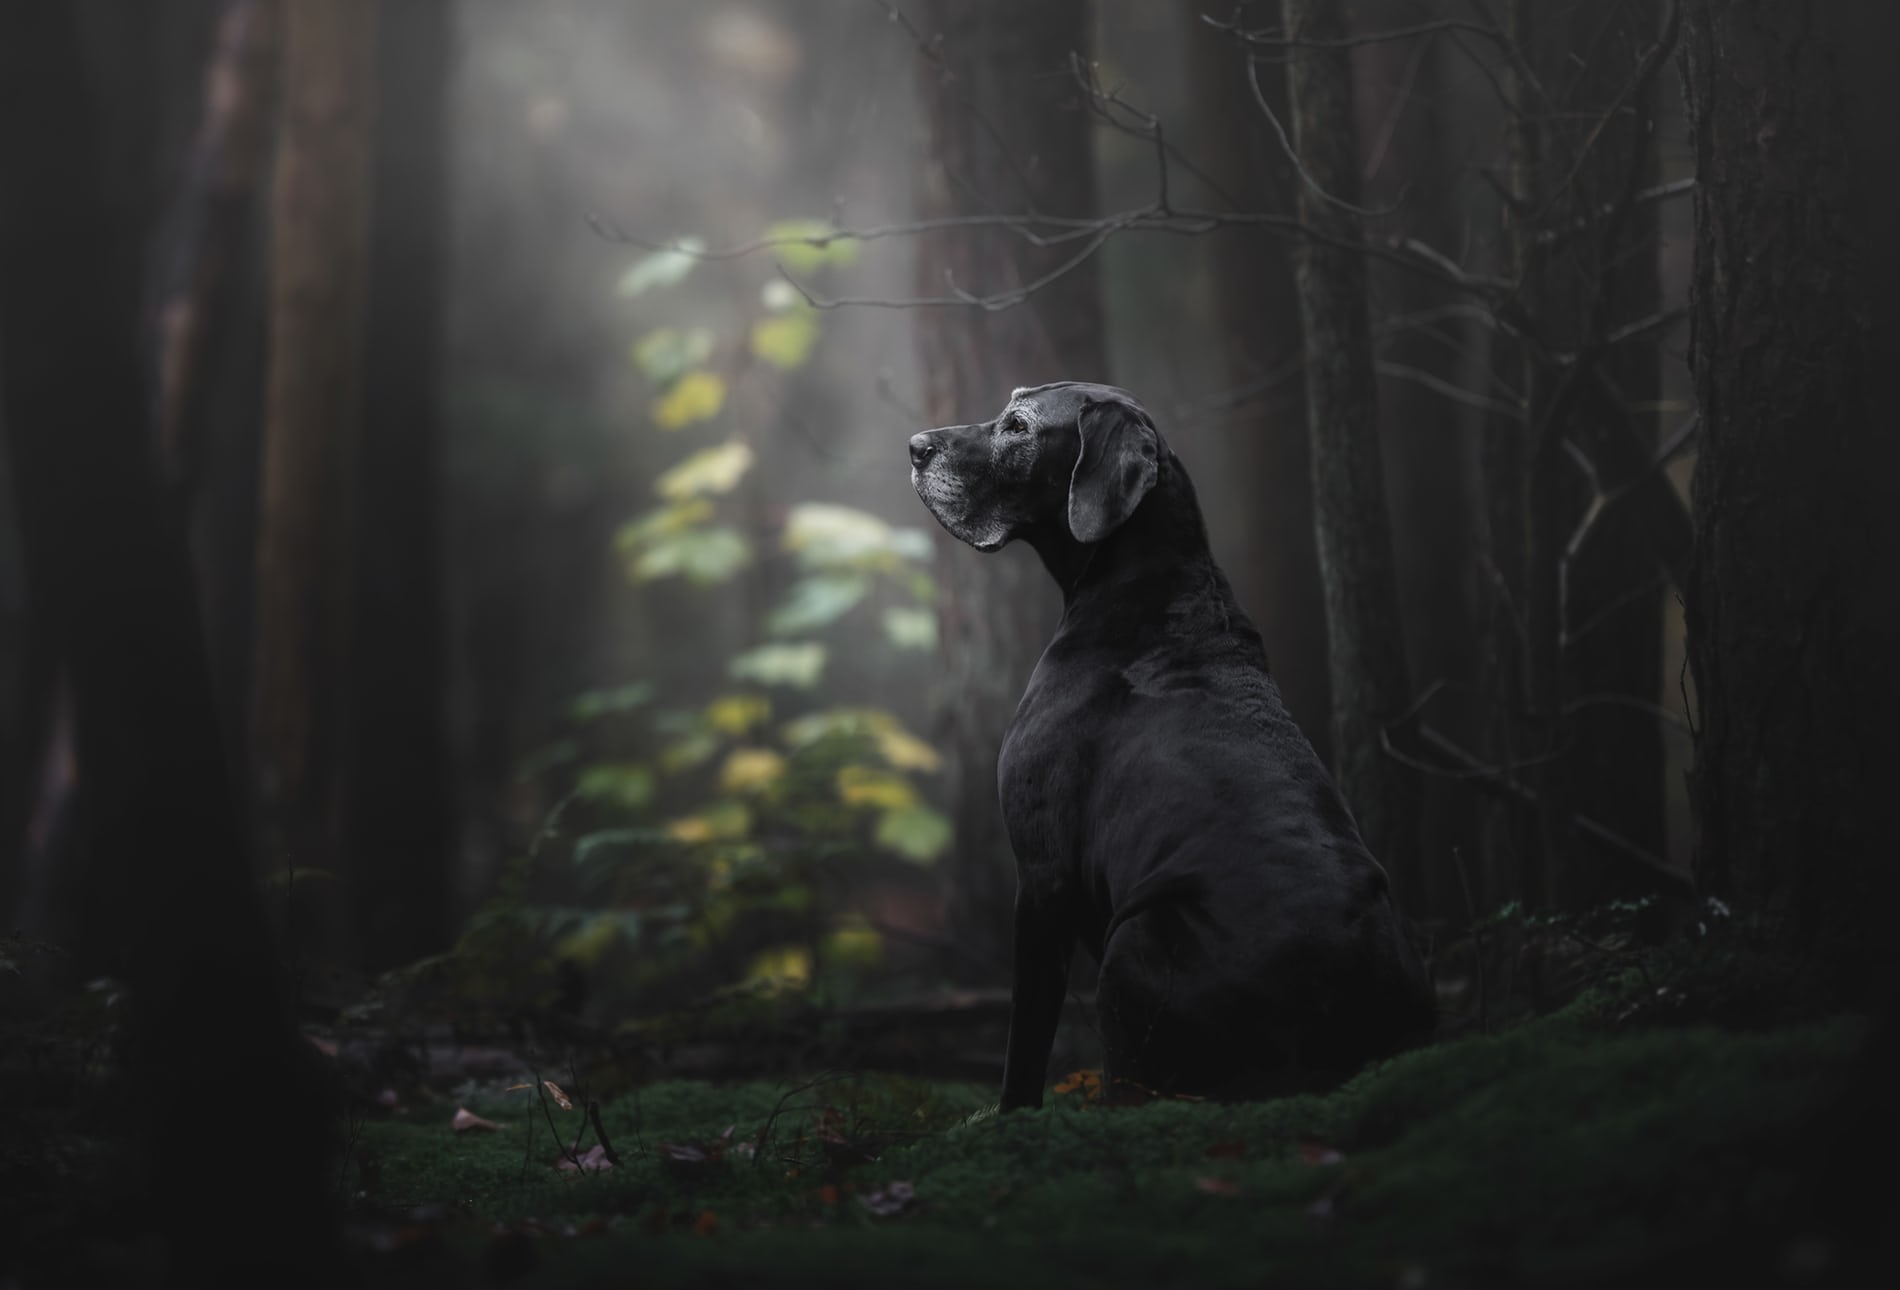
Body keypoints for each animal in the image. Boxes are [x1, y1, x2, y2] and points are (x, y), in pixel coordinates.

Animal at [912, 381, 1428, 1109]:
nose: (915, 447)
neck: (1147, 582)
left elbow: (1026, 1039)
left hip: (1136, 938)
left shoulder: (1041, 876)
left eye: (1019, 426)